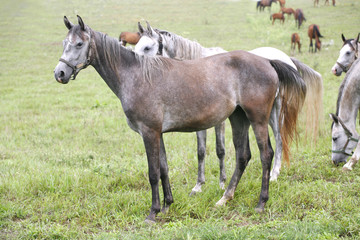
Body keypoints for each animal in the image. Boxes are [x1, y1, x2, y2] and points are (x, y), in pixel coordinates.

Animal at [134, 21, 322, 188]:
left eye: (147, 48)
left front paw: (222, 183)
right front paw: (198, 185)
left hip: (276, 110)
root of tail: (285, 59)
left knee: (279, 138)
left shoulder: (220, 121)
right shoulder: (200, 122)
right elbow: (201, 151)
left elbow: (220, 149)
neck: (201, 69)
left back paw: (274, 174)